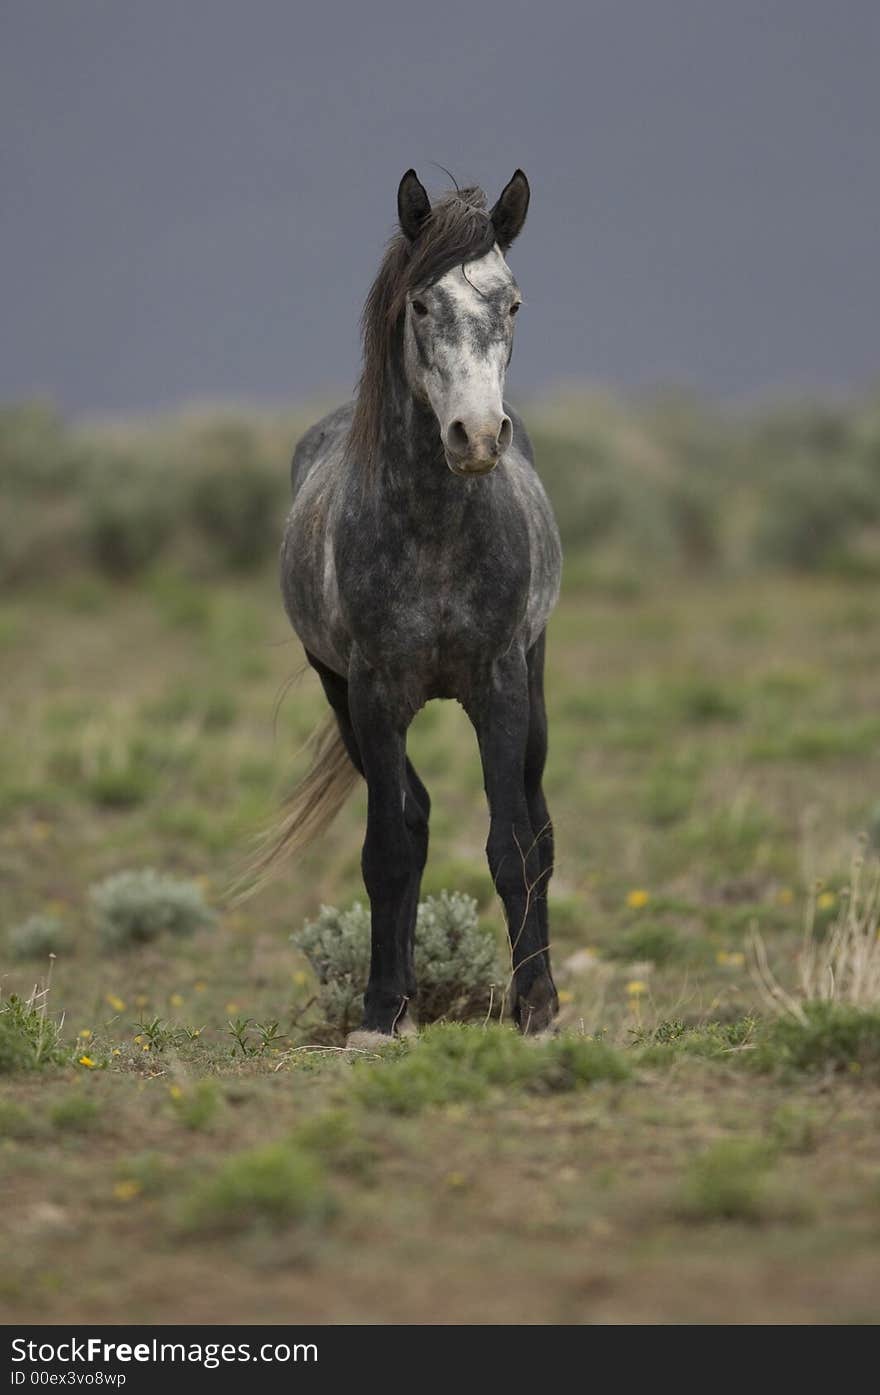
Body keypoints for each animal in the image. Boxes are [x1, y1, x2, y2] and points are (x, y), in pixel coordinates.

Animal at [269, 168, 560, 1043]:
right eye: (422, 305)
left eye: (513, 302)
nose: (477, 436)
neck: (433, 532)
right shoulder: (372, 693)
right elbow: (389, 849)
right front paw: (380, 1009)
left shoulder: (499, 686)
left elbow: (512, 845)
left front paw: (535, 1005)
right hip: (340, 695)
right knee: (414, 818)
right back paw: (399, 996)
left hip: (534, 682)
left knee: (539, 825)